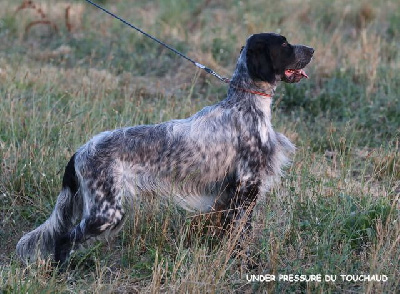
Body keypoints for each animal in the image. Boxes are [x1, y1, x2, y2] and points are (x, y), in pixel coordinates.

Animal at [15, 32, 314, 264]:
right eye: (284, 44)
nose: (312, 49)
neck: (243, 104)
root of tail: (79, 152)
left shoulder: (232, 195)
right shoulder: (246, 188)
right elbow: (240, 237)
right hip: (106, 212)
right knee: (64, 239)